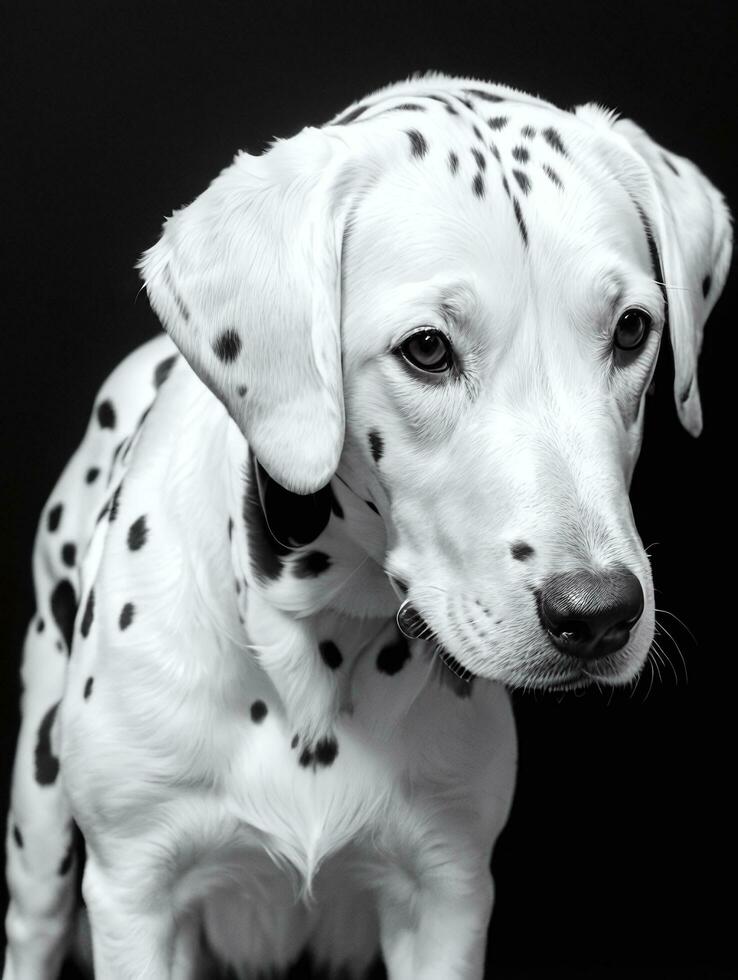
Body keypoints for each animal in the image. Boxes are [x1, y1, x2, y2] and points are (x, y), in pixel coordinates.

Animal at [2, 72, 732, 976]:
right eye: (427, 349)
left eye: (631, 329)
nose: (598, 614)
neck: (315, 647)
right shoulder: (135, 895)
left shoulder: (447, 897)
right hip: (40, 817)